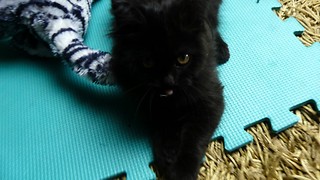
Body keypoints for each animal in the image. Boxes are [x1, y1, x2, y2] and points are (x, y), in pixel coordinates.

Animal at [111, 0, 229, 179]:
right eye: (148, 62)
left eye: (183, 58)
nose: (168, 81)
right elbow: (161, 120)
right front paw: (167, 153)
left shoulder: (209, 97)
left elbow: (193, 138)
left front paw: (182, 171)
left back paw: (221, 49)